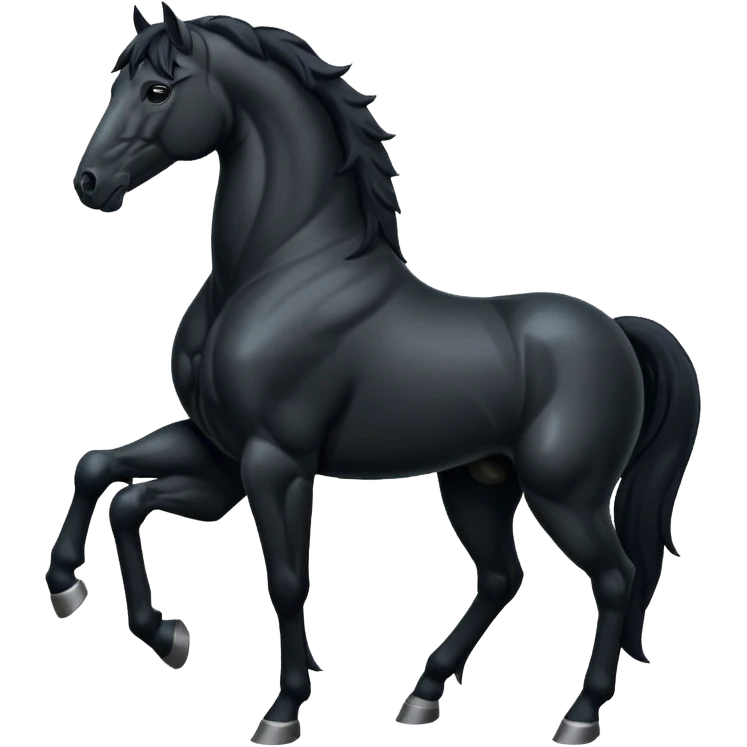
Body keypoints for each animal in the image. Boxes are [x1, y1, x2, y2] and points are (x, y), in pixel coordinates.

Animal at [54, 4, 702, 745]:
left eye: (158, 90)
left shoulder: (275, 462)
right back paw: (422, 695)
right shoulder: (218, 456)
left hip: (567, 495)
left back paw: (579, 715)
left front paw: (282, 710)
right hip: (479, 483)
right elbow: (107, 479)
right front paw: (127, 616)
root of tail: (618, 330)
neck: (281, 270)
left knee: (616, 577)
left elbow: (286, 579)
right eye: (117, 83)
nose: (89, 184)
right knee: (501, 577)